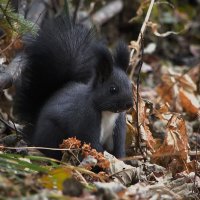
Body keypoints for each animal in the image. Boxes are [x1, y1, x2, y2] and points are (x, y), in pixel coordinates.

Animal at [13, 16, 133, 159]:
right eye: (113, 89)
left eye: (130, 85)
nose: (129, 104)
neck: (108, 113)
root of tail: (35, 130)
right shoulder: (86, 119)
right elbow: (93, 144)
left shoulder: (118, 125)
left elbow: (118, 147)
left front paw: (121, 160)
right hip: (52, 132)